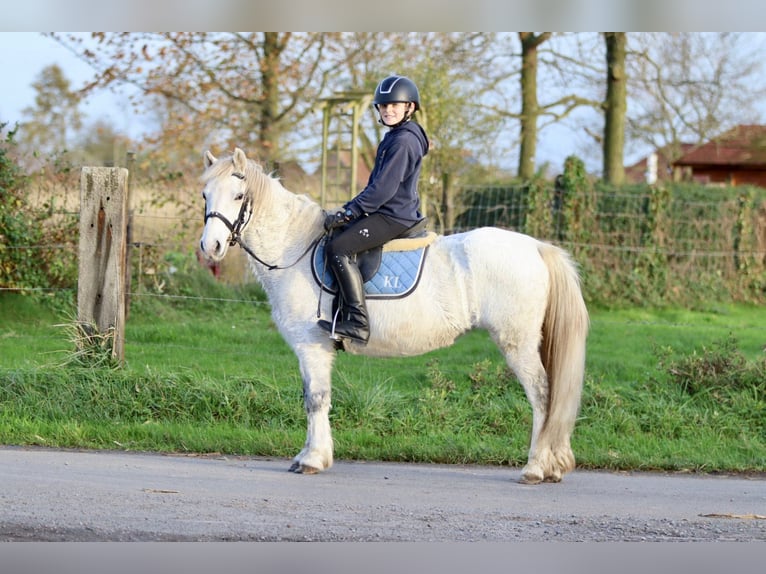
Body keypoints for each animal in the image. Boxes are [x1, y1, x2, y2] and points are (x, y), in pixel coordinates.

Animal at [198, 146, 588, 484]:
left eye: (238, 195)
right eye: (205, 195)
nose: (210, 247)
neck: (295, 249)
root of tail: (536, 247)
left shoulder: (311, 345)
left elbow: (316, 399)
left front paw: (312, 459)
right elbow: (315, 397)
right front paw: (312, 455)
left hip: (517, 344)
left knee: (542, 396)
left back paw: (535, 468)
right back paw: (551, 466)